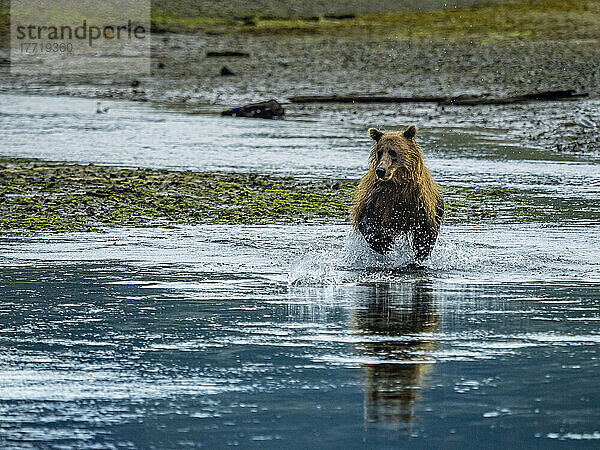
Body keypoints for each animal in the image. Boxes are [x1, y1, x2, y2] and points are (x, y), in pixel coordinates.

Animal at [350, 125, 442, 260]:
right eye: (379, 152)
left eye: (393, 152)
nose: (380, 170)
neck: (396, 184)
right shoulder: (376, 196)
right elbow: (366, 217)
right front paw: (384, 243)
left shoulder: (417, 201)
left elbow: (425, 229)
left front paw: (420, 253)